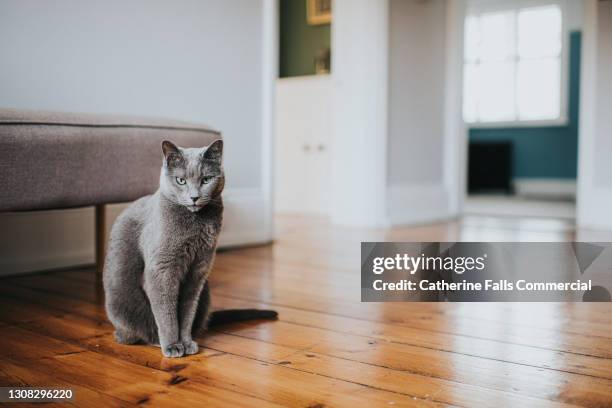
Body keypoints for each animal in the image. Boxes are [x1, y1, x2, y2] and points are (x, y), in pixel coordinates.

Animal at [105, 139, 278, 356]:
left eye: (206, 179)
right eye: (181, 180)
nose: (194, 197)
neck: (196, 225)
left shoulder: (198, 272)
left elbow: (187, 312)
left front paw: (186, 343)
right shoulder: (161, 270)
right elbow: (167, 313)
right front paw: (172, 345)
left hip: (206, 292)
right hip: (120, 299)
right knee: (132, 328)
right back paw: (145, 339)